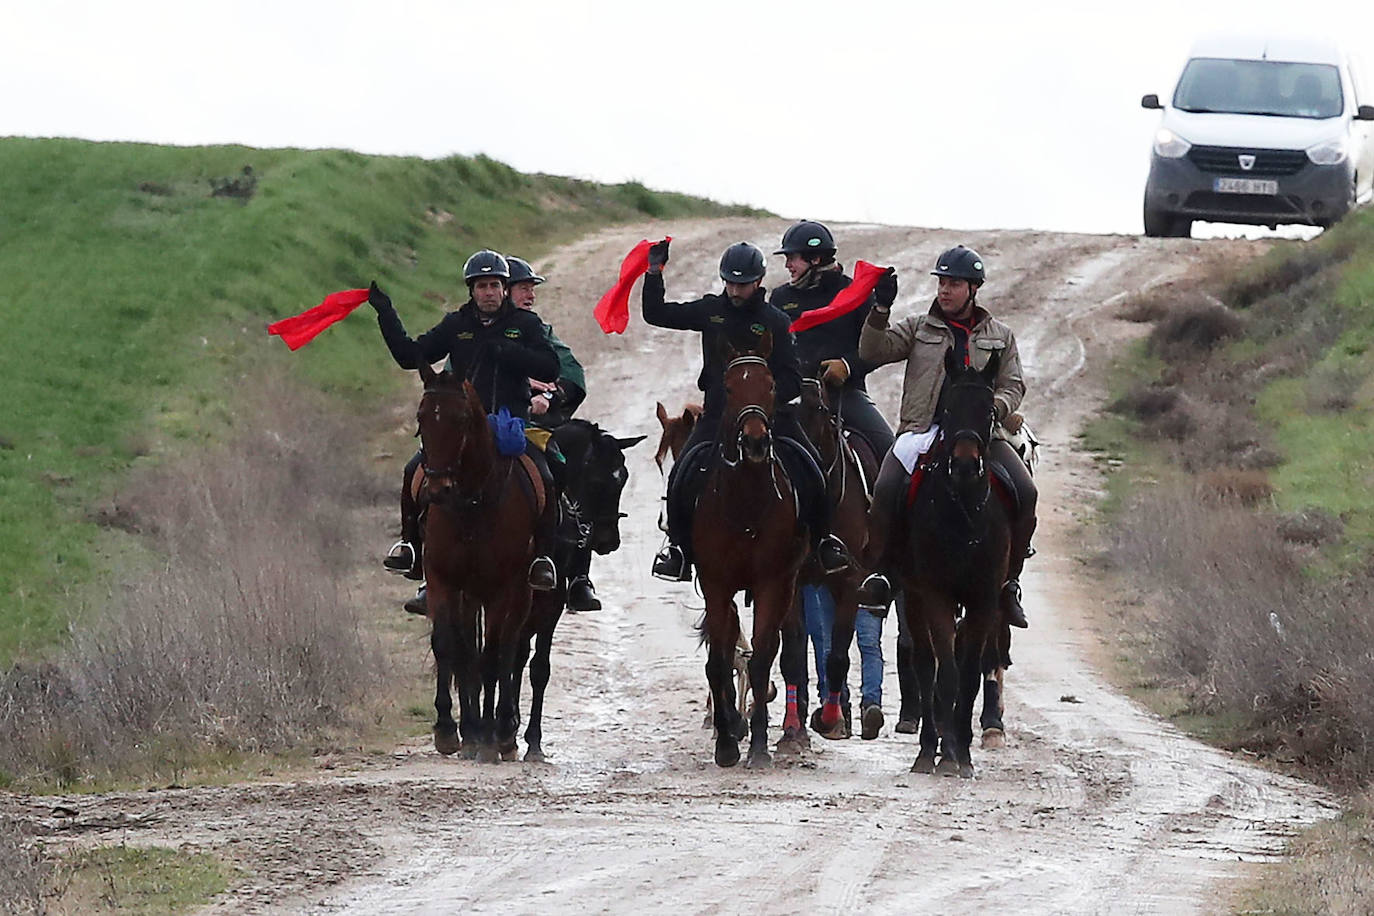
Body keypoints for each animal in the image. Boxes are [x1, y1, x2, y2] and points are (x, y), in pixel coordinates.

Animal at [412, 362, 546, 763]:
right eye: (422, 417)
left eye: (461, 419)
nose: (437, 490)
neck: (471, 503)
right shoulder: (444, 581)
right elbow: (451, 648)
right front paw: (449, 730)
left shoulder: (503, 588)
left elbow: (491, 658)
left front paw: (490, 736)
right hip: (471, 595)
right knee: (471, 654)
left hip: (519, 594)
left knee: (507, 653)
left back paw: (501, 732)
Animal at [513, 420, 645, 763]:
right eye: (597, 480)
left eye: (623, 479)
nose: (608, 541)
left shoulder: (552, 601)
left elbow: (539, 668)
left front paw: (533, 742)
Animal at [692, 335, 807, 769]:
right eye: (728, 388)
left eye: (771, 385)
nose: (756, 442)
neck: (746, 504)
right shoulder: (715, 583)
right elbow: (719, 661)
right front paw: (726, 743)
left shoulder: (773, 582)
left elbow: (760, 659)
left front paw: (757, 745)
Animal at [895, 351, 1016, 780]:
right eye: (947, 407)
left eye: (988, 410)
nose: (965, 465)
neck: (963, 511)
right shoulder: (935, 595)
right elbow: (946, 674)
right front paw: (946, 754)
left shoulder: (984, 599)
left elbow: (969, 674)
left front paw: (962, 752)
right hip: (912, 597)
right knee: (925, 664)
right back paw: (927, 748)